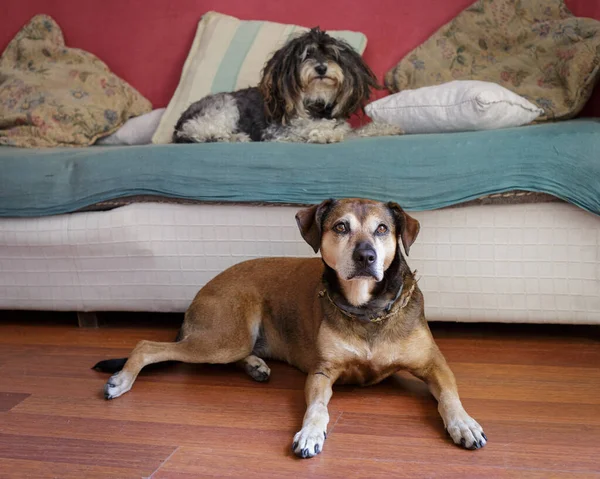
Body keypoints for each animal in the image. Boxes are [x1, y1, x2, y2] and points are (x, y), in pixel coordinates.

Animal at [171, 27, 400, 143]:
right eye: (307, 54)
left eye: (331, 54)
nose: (321, 68)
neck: (315, 103)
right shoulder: (276, 131)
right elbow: (306, 128)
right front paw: (324, 133)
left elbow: (354, 130)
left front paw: (385, 128)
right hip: (224, 107)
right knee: (195, 131)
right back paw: (229, 137)